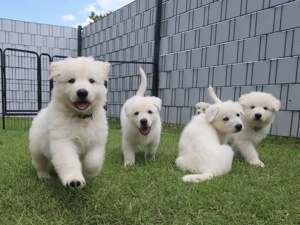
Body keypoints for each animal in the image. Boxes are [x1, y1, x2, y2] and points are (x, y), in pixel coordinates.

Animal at [28, 56, 110, 188]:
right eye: (71, 80)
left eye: (91, 80)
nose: (82, 92)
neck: (80, 117)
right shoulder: (63, 142)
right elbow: (69, 161)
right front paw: (74, 180)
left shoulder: (97, 141)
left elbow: (93, 161)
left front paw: (88, 172)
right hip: (37, 148)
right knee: (40, 163)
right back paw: (44, 176)